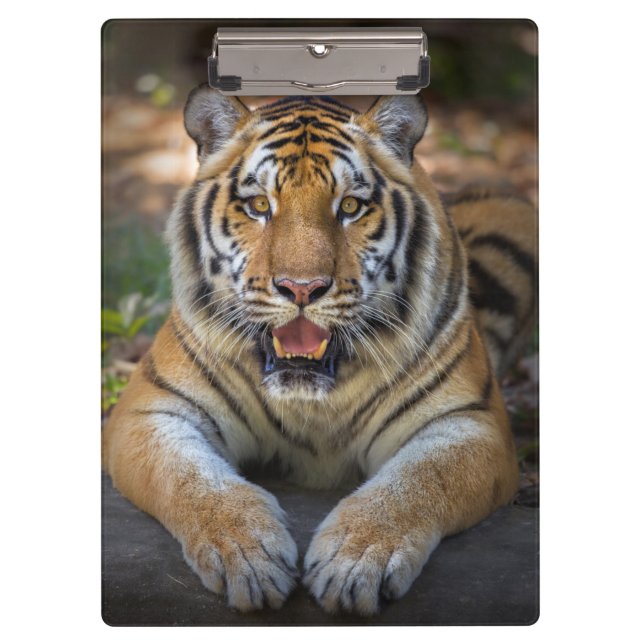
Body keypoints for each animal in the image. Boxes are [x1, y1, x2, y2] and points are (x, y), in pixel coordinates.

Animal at [102, 86, 537, 616]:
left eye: (349, 206)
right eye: (259, 205)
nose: (302, 288)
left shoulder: (470, 422)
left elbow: (418, 482)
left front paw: (355, 561)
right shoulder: (151, 411)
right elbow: (191, 479)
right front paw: (248, 554)